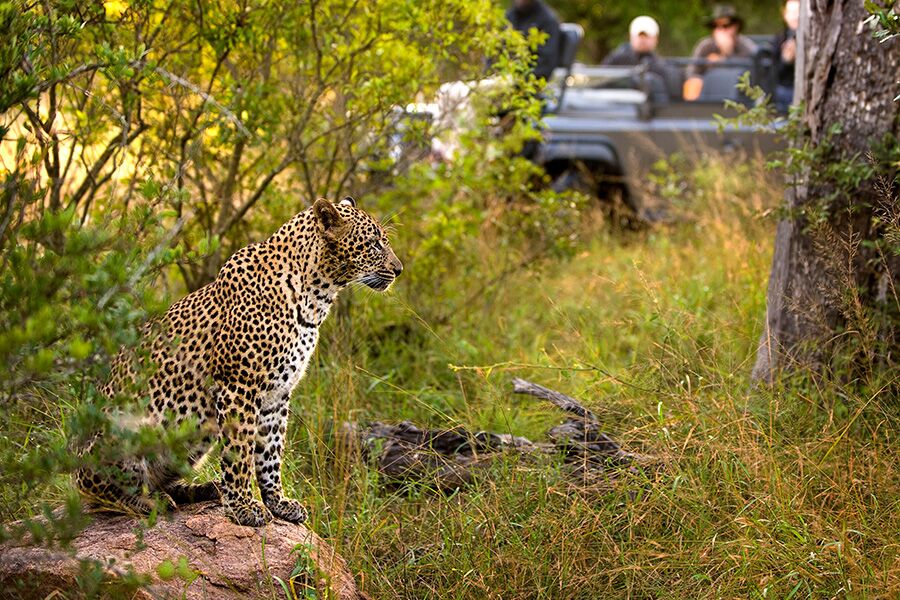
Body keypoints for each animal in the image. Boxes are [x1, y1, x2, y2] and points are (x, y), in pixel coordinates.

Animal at [75, 196, 402, 527]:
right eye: (374, 244)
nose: (399, 270)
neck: (316, 297)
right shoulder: (239, 386)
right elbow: (240, 451)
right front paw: (244, 506)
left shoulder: (277, 394)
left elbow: (270, 452)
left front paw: (278, 502)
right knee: (101, 492)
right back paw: (149, 503)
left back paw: (202, 489)